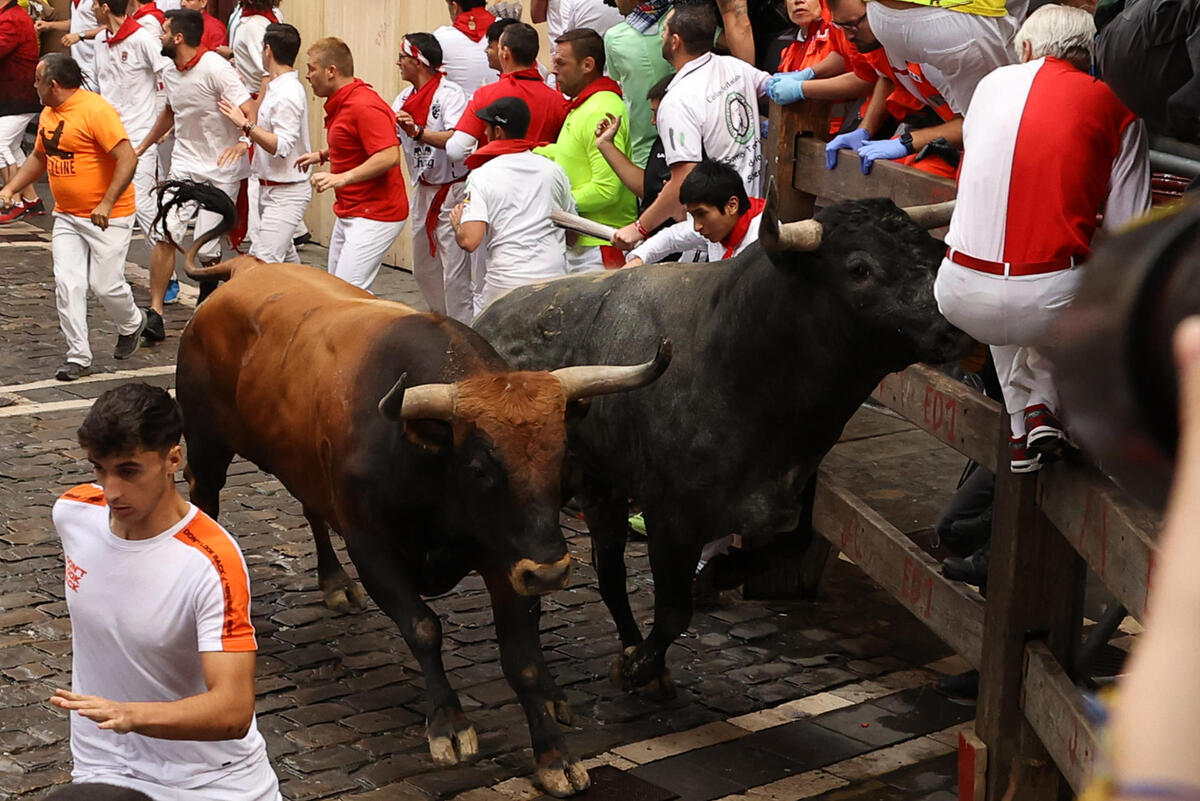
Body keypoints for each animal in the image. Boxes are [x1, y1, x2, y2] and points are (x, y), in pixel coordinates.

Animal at [158, 179, 667, 796]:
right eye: (480, 467)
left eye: (560, 458)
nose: (549, 571)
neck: (430, 468)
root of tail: (247, 269)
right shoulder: (374, 547)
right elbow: (424, 627)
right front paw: (448, 723)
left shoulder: (503, 555)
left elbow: (522, 659)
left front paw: (553, 753)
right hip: (207, 444)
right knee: (207, 502)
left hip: (298, 458)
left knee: (310, 508)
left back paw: (334, 583)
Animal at [472, 194, 969, 695]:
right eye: (860, 268)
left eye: (936, 254)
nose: (955, 328)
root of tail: (487, 318)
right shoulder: (672, 519)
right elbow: (674, 611)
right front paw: (644, 664)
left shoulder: (787, 507)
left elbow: (775, 553)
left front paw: (714, 576)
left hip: (601, 487)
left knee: (609, 573)